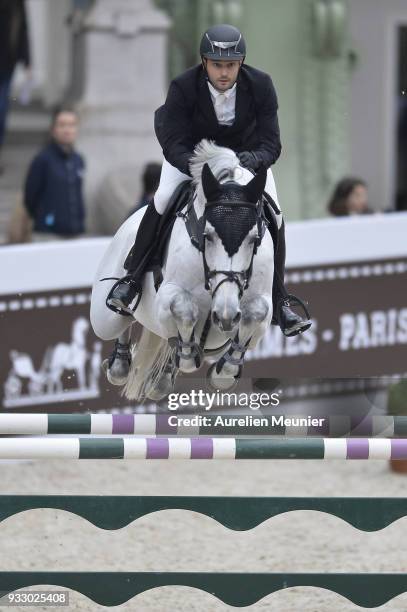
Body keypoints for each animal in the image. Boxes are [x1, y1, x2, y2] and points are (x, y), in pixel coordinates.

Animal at [89, 142, 274, 402]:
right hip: (104, 319)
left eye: (254, 238)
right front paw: (187, 356)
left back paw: (162, 379)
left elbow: (255, 313)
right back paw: (121, 360)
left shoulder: (262, 304)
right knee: (122, 319)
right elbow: (184, 309)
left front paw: (223, 375)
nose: (226, 316)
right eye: (208, 235)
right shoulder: (168, 293)